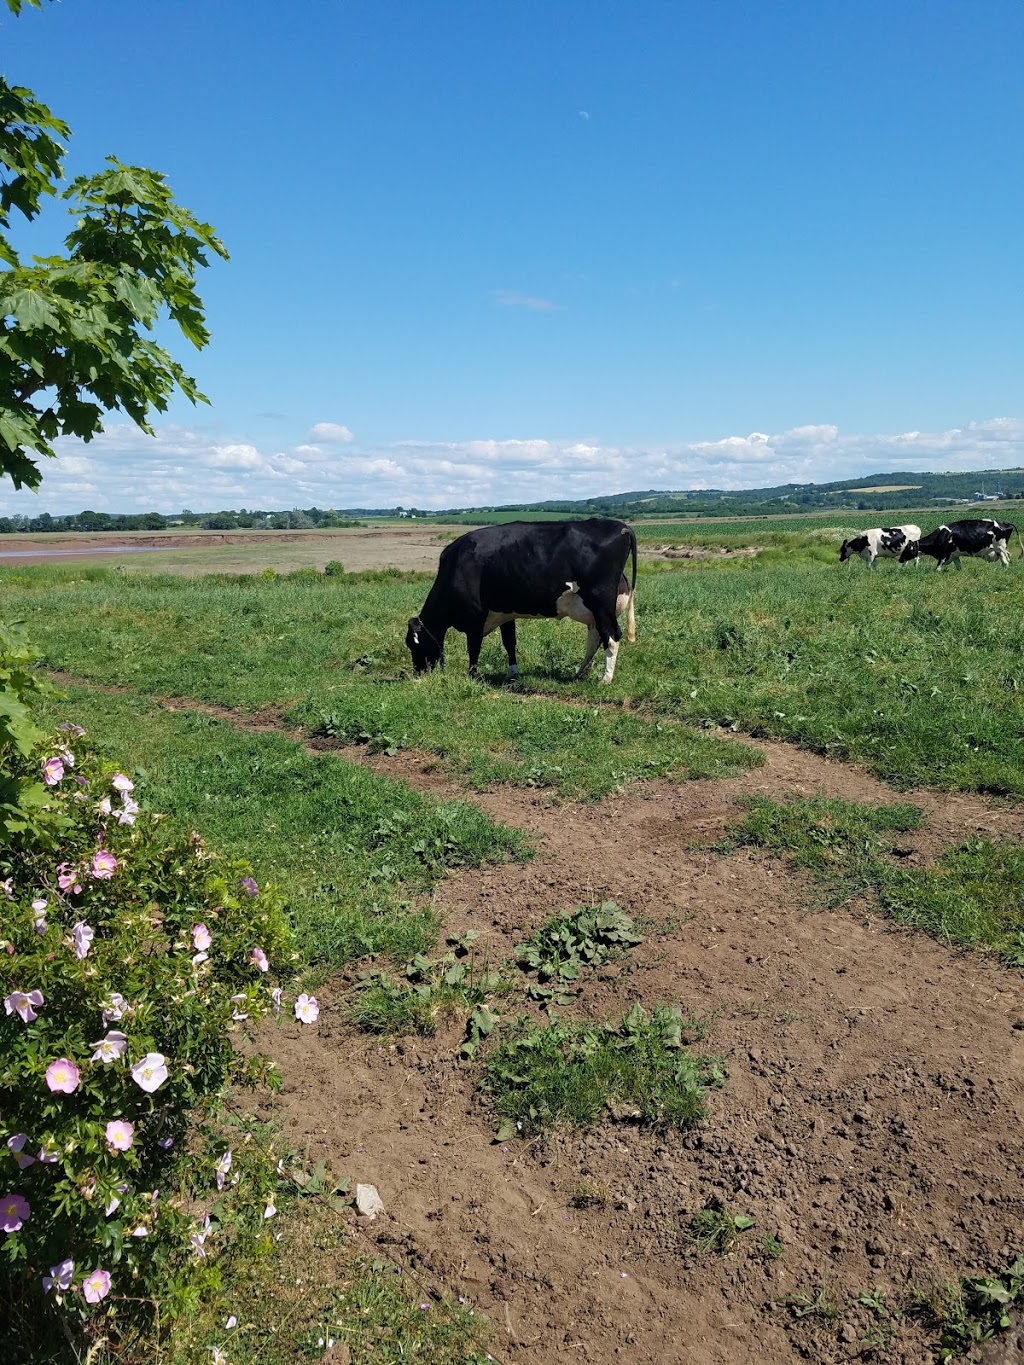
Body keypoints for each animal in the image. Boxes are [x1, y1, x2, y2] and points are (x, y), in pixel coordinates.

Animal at [406, 515, 633, 682]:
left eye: (412, 644)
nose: (418, 674)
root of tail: (621, 527)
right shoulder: (504, 613)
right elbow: (509, 642)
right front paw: (512, 673)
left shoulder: (475, 617)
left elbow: (474, 648)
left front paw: (472, 676)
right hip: (593, 609)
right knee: (595, 637)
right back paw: (580, 673)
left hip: (601, 602)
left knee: (611, 636)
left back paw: (605, 679)